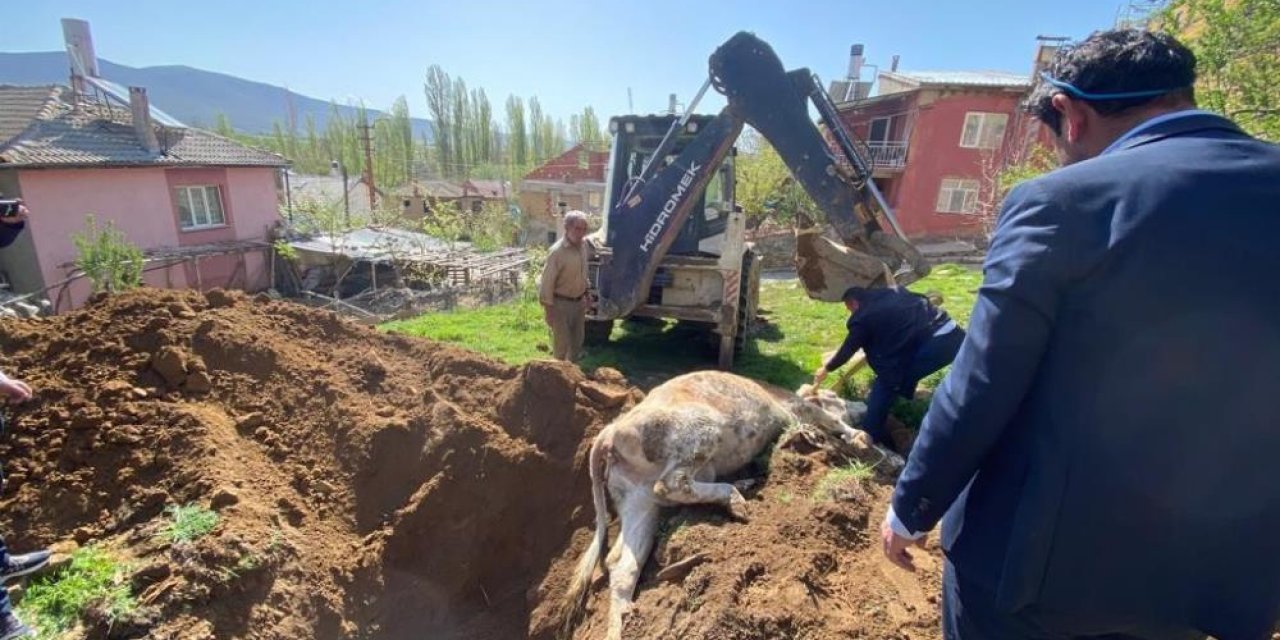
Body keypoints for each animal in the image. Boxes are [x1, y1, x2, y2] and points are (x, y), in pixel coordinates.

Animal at [563, 371, 880, 640]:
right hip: (698, 432)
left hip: (637, 500)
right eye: (834, 396)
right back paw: (736, 497)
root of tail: (611, 430)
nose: (864, 403)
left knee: (622, 563)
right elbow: (829, 419)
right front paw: (860, 436)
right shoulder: (798, 408)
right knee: (672, 484)